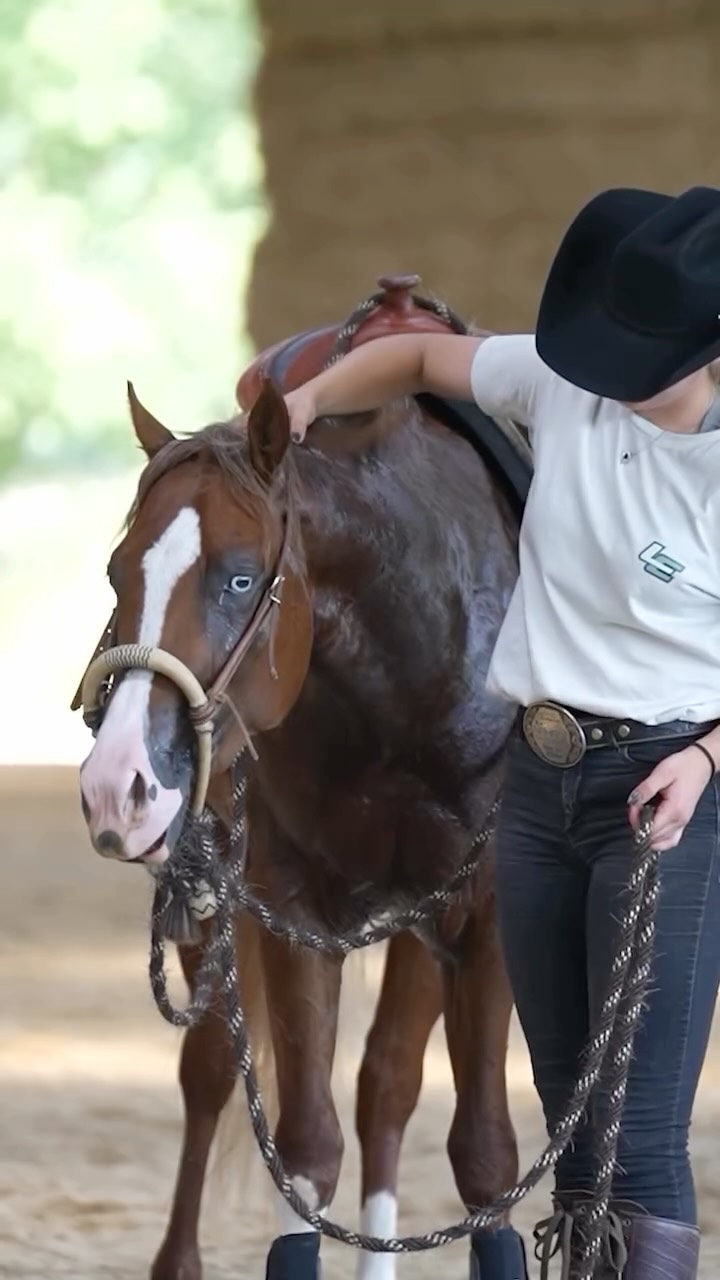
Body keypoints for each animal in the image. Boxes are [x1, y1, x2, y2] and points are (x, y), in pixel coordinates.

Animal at [76, 295, 526, 1280]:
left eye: (240, 577)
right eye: (118, 573)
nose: (115, 785)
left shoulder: (482, 920)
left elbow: (482, 1159)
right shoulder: (288, 911)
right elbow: (308, 1148)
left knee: (388, 1084)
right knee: (213, 1071)